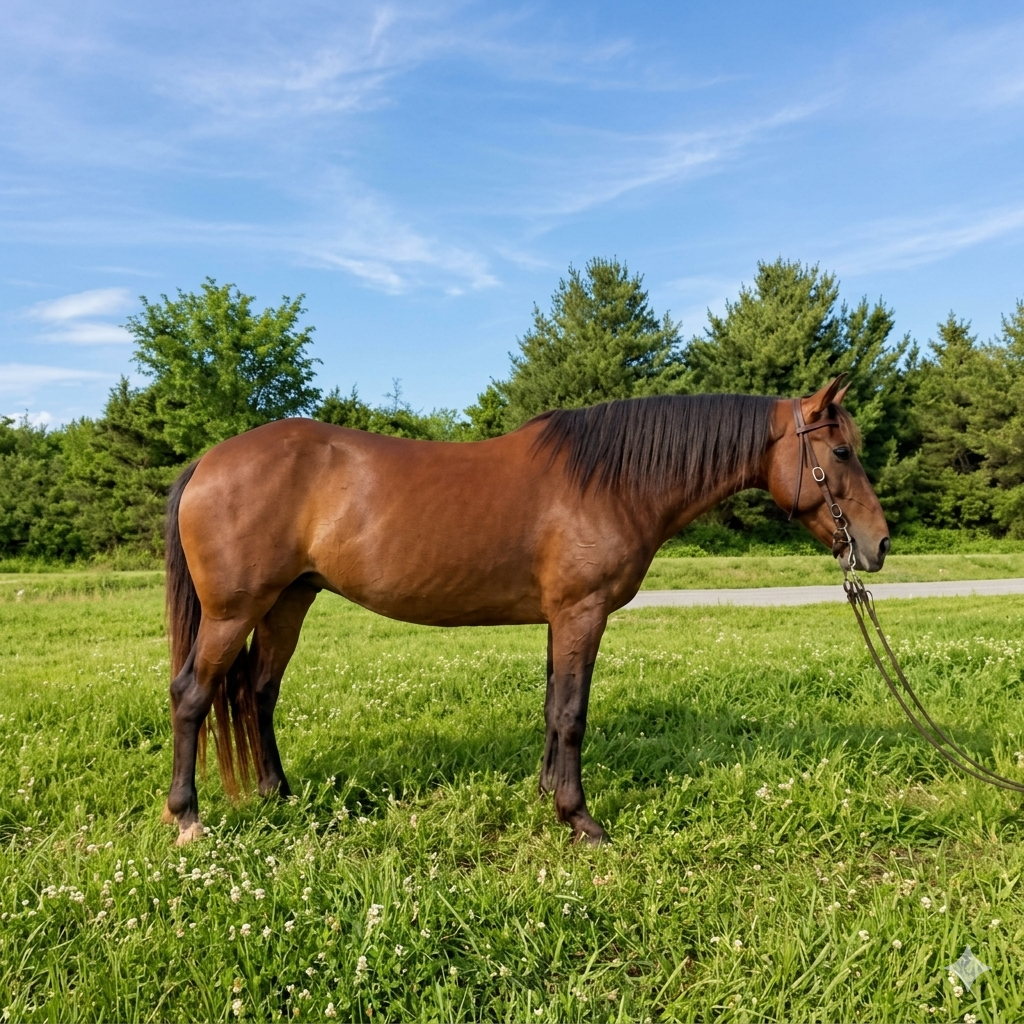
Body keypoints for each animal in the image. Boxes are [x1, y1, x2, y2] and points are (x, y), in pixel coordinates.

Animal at [161, 376, 889, 845]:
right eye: (842, 451)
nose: (879, 544)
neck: (611, 481)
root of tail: (207, 462)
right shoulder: (581, 613)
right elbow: (571, 714)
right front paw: (581, 820)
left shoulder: (557, 619)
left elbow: (550, 705)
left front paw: (546, 795)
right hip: (232, 612)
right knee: (193, 694)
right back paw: (188, 817)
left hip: (288, 602)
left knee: (257, 691)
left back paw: (278, 793)